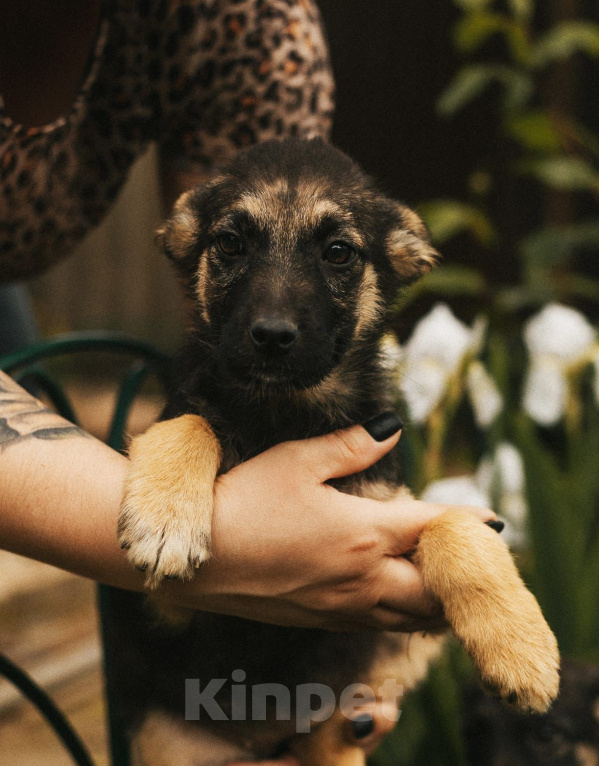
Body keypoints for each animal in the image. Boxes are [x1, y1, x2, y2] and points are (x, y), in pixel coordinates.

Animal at [115, 140, 560, 766]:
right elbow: (191, 421)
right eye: (230, 244)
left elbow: (454, 523)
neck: (285, 416)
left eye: (338, 253)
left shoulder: (392, 540)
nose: (272, 336)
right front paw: (164, 520)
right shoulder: (168, 611)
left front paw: (522, 650)